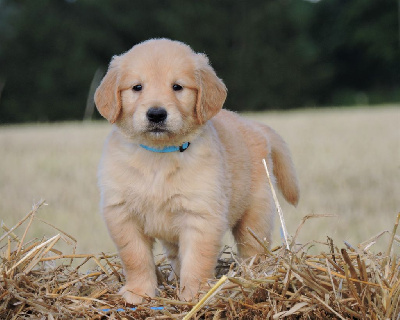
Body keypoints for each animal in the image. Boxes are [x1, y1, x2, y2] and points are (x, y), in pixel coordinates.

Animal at [95, 38, 298, 304]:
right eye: (137, 87)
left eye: (177, 87)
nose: (156, 114)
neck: (159, 155)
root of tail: (253, 125)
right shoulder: (122, 214)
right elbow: (135, 258)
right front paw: (137, 293)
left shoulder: (201, 214)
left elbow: (197, 261)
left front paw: (194, 296)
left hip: (256, 213)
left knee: (253, 249)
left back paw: (254, 277)